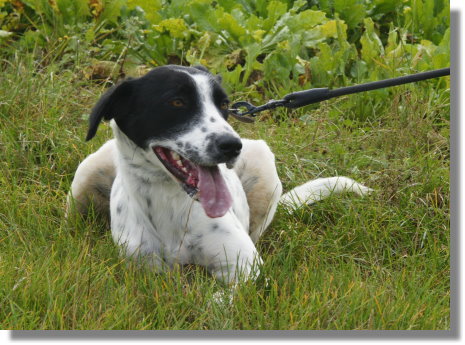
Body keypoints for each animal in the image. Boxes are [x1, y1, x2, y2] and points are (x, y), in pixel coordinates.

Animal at [67, 65, 370, 284]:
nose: (231, 145)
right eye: (176, 102)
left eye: (224, 105)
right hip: (87, 172)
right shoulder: (145, 268)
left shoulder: (244, 264)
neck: (170, 202)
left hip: (262, 163)